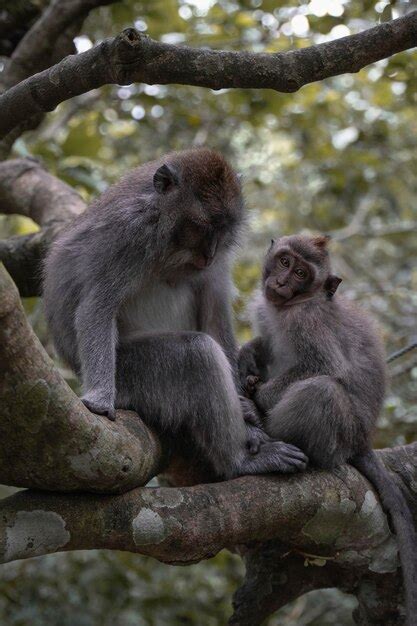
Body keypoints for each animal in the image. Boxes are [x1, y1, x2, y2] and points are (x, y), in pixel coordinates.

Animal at [44, 147, 308, 478]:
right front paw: (101, 399)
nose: (209, 254)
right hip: (135, 378)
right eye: (200, 227)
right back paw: (239, 462)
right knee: (196, 353)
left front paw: (248, 415)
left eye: (222, 230)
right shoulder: (128, 233)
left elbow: (214, 317)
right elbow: (97, 307)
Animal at [237, 234, 416, 624]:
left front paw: (256, 399)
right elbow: (265, 344)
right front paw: (247, 353)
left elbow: (323, 366)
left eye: (302, 273)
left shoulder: (308, 321)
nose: (282, 282)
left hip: (341, 436)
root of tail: (363, 440)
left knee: (322, 390)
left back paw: (268, 434)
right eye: (285, 261)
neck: (293, 305)